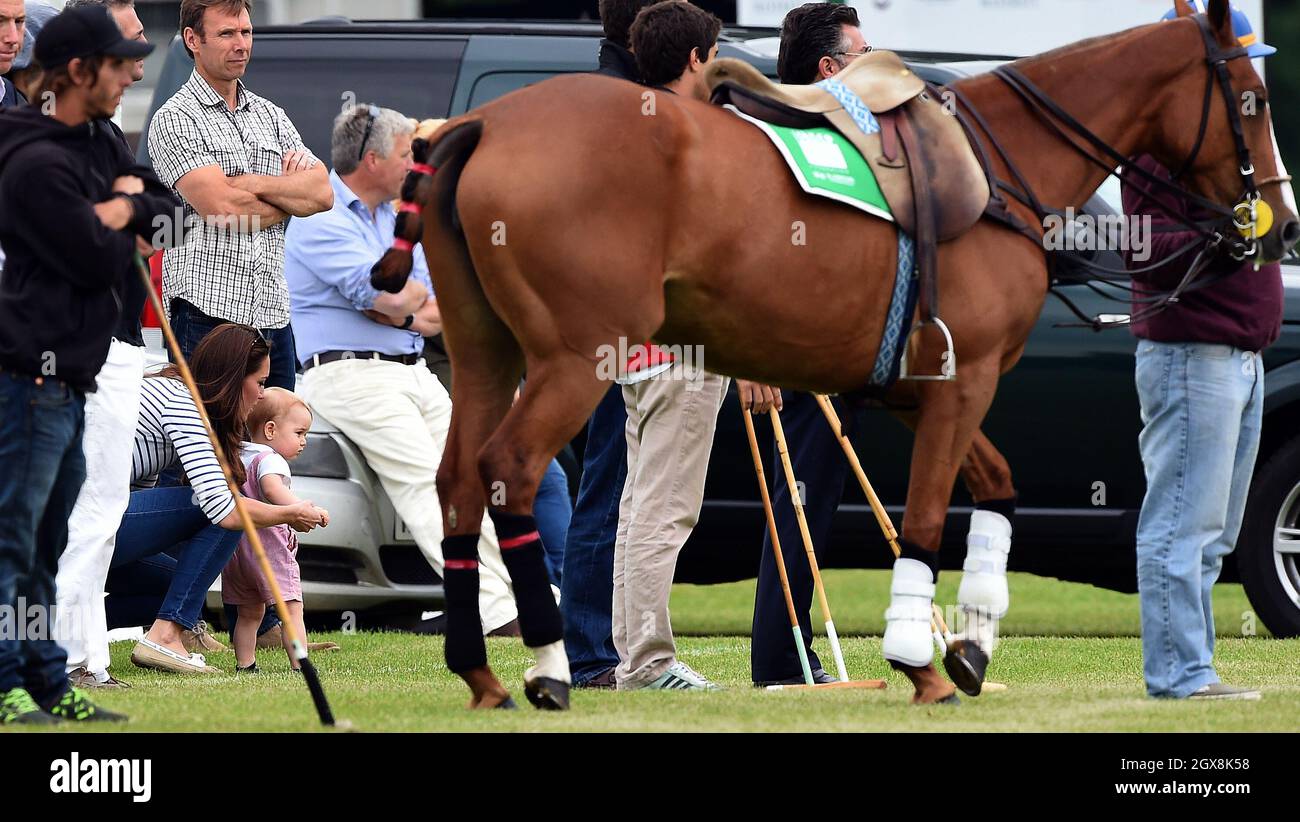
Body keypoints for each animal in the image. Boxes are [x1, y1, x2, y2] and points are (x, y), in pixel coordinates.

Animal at [374, 0, 1300, 707]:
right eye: (1253, 99)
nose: (1282, 227)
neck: (999, 170)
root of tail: (483, 121)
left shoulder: (915, 388)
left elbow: (996, 486)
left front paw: (969, 641)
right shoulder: (963, 380)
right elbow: (922, 521)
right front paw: (920, 661)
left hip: (487, 354)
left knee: (456, 482)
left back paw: (481, 673)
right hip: (576, 357)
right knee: (511, 471)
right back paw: (549, 668)